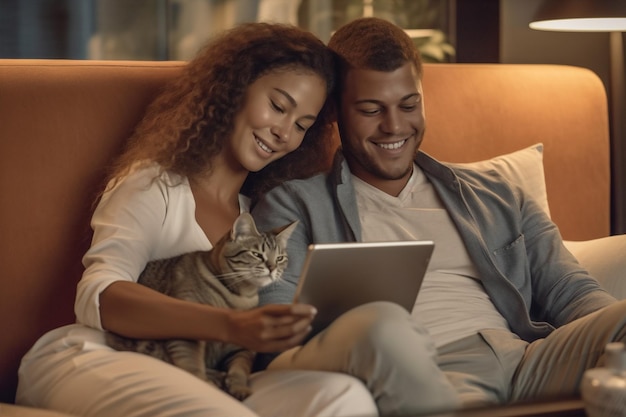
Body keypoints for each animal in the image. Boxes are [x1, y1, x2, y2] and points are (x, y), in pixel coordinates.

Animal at [104, 213, 294, 398]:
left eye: (280, 258)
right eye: (257, 254)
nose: (272, 267)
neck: (241, 296)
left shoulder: (242, 348)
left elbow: (240, 369)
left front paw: (239, 386)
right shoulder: (185, 328)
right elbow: (193, 367)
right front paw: (208, 385)